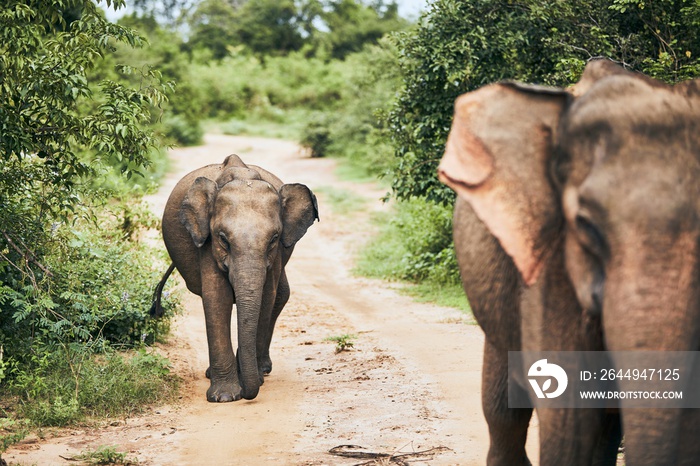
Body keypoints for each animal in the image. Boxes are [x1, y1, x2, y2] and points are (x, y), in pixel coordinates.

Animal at [153, 155, 320, 402]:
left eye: (274, 239)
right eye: (223, 239)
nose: (248, 393)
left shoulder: (276, 255)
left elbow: (266, 298)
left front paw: (252, 381)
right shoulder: (207, 243)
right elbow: (217, 298)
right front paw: (225, 397)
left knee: (280, 296)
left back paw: (263, 369)